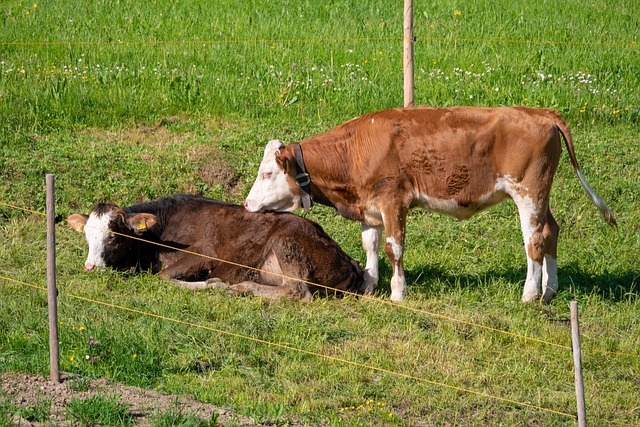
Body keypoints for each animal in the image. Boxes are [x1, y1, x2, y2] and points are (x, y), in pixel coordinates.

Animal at [69, 194, 364, 300]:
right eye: (86, 236)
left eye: (112, 236)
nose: (90, 266)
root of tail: (350, 262)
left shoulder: (203, 254)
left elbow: (163, 277)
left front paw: (213, 284)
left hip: (287, 240)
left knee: (298, 293)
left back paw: (242, 287)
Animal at [244, 108, 616, 306]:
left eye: (267, 173)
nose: (247, 204)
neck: (354, 150)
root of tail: (539, 113)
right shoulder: (369, 206)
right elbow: (371, 245)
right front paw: (369, 285)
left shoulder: (393, 199)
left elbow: (393, 248)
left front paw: (398, 293)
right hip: (541, 196)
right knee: (552, 230)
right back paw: (550, 291)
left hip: (528, 193)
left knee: (534, 240)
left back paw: (529, 294)